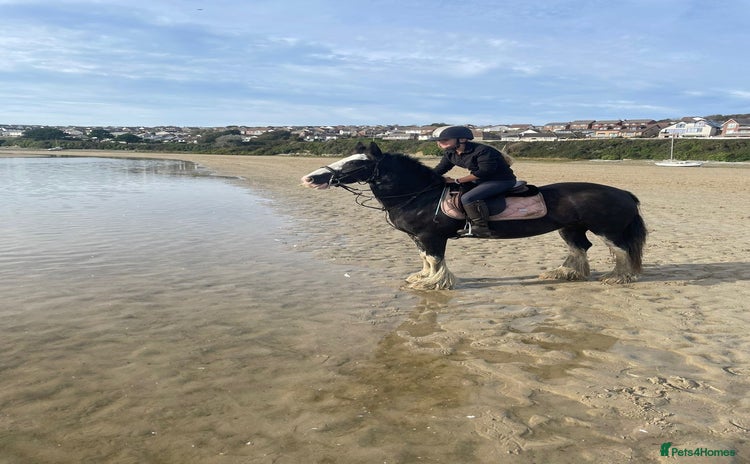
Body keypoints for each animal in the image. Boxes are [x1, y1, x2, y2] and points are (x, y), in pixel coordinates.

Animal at [301, 142, 647, 290]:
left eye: (354, 164)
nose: (309, 179)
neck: (419, 194)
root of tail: (623, 192)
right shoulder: (420, 238)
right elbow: (425, 260)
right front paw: (423, 278)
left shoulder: (432, 237)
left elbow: (435, 260)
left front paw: (434, 284)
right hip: (570, 228)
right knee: (580, 248)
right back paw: (565, 273)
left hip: (607, 229)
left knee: (619, 250)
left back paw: (618, 277)